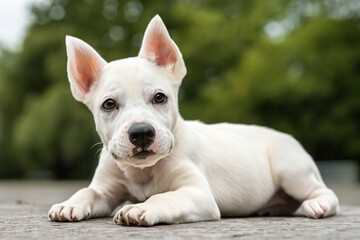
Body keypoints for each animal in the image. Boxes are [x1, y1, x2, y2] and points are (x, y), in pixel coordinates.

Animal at [49, 14, 338, 225]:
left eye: (159, 98)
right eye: (109, 104)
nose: (141, 132)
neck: (143, 172)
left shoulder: (197, 194)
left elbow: (165, 198)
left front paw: (140, 208)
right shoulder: (106, 189)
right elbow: (89, 191)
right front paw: (69, 203)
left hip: (291, 169)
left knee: (324, 192)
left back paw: (316, 204)